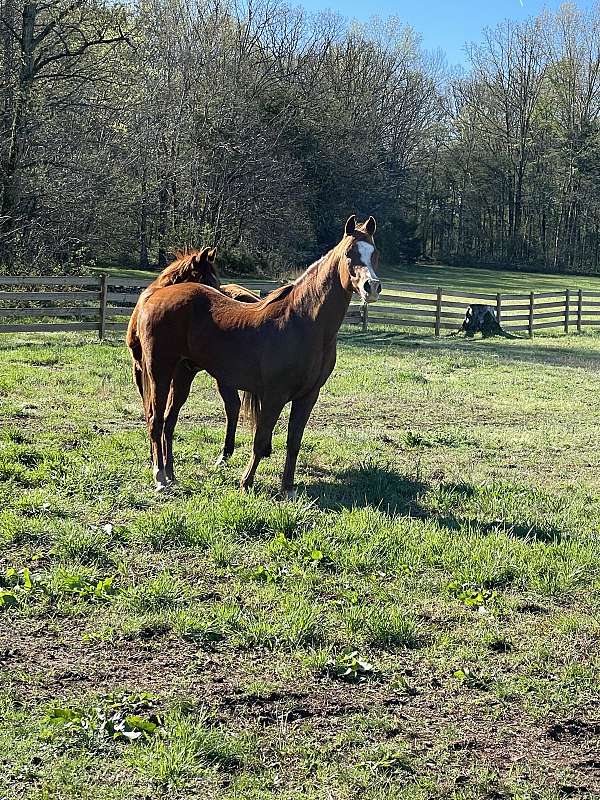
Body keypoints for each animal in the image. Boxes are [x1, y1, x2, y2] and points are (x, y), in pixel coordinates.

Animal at [137, 215, 382, 495]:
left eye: (375, 253)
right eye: (349, 254)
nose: (372, 287)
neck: (304, 323)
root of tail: (155, 295)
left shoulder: (308, 396)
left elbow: (294, 441)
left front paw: (288, 487)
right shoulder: (275, 394)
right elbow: (261, 437)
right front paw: (246, 482)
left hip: (183, 373)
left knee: (169, 420)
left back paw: (171, 474)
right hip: (160, 371)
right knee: (155, 420)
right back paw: (160, 478)